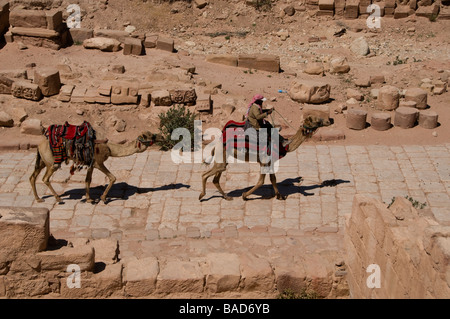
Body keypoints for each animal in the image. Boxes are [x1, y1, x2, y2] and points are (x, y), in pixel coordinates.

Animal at [30, 127, 158, 204]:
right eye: (150, 136)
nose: (159, 136)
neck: (110, 148)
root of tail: (39, 145)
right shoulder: (98, 162)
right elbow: (113, 177)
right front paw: (103, 198)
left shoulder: (91, 165)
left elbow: (88, 180)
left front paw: (89, 199)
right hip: (52, 163)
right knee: (45, 178)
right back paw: (58, 198)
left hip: (42, 160)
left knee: (32, 177)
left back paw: (38, 199)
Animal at [199, 114, 332, 202]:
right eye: (317, 120)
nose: (331, 119)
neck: (283, 145)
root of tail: (217, 143)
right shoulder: (264, 160)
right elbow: (261, 181)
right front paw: (244, 195)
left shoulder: (270, 162)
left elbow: (273, 178)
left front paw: (280, 196)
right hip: (221, 156)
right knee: (205, 175)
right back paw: (201, 196)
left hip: (222, 158)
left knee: (216, 178)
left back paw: (226, 196)